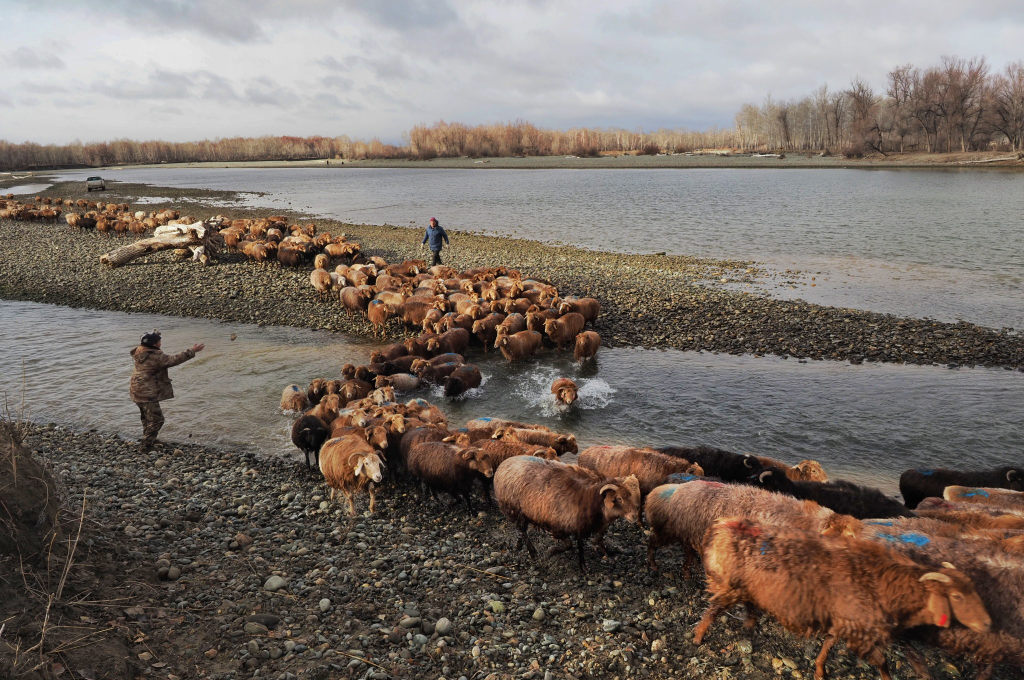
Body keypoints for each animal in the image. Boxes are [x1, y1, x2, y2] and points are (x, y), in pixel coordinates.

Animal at [489, 454, 634, 569]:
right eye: (619, 498)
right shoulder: (558, 526)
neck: (589, 497)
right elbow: (569, 545)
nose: (633, 517)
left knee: (520, 531)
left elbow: (583, 543)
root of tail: (505, 462)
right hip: (515, 509)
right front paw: (552, 550)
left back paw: (519, 546)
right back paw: (533, 553)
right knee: (523, 531)